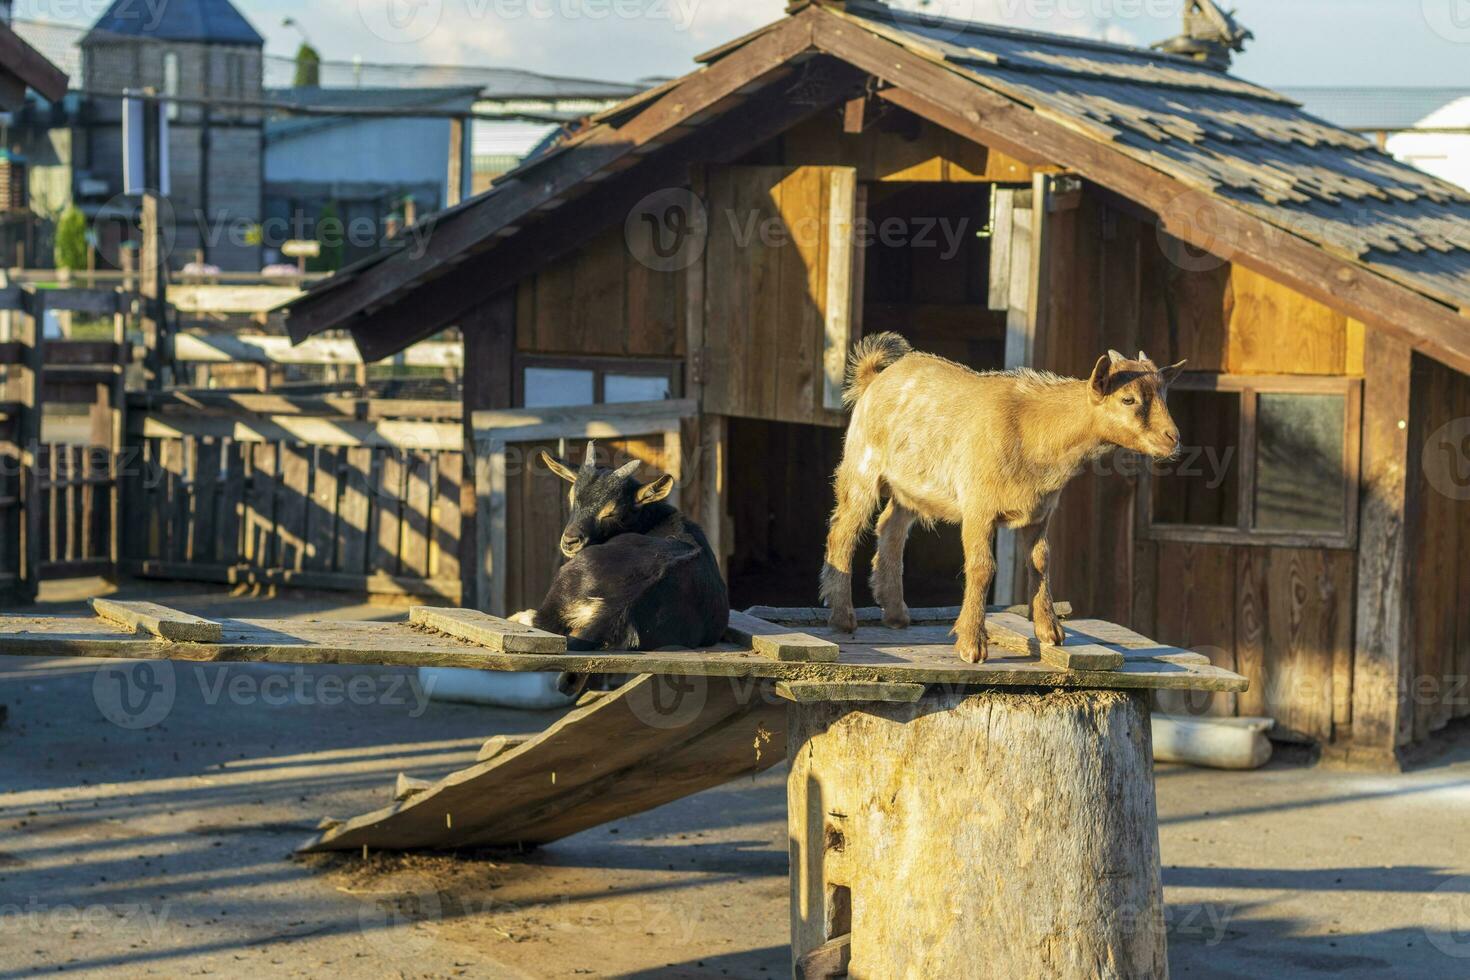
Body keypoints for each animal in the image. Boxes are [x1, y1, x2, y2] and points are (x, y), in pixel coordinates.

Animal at [823, 333, 1187, 664]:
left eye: (1164, 395)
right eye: (1128, 399)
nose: (1173, 439)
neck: (1034, 430)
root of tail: (874, 377)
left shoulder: (1041, 512)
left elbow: (1041, 561)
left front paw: (1050, 632)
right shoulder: (978, 506)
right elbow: (982, 567)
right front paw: (972, 645)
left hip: (910, 488)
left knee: (891, 528)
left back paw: (896, 613)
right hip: (862, 465)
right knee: (844, 530)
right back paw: (843, 618)